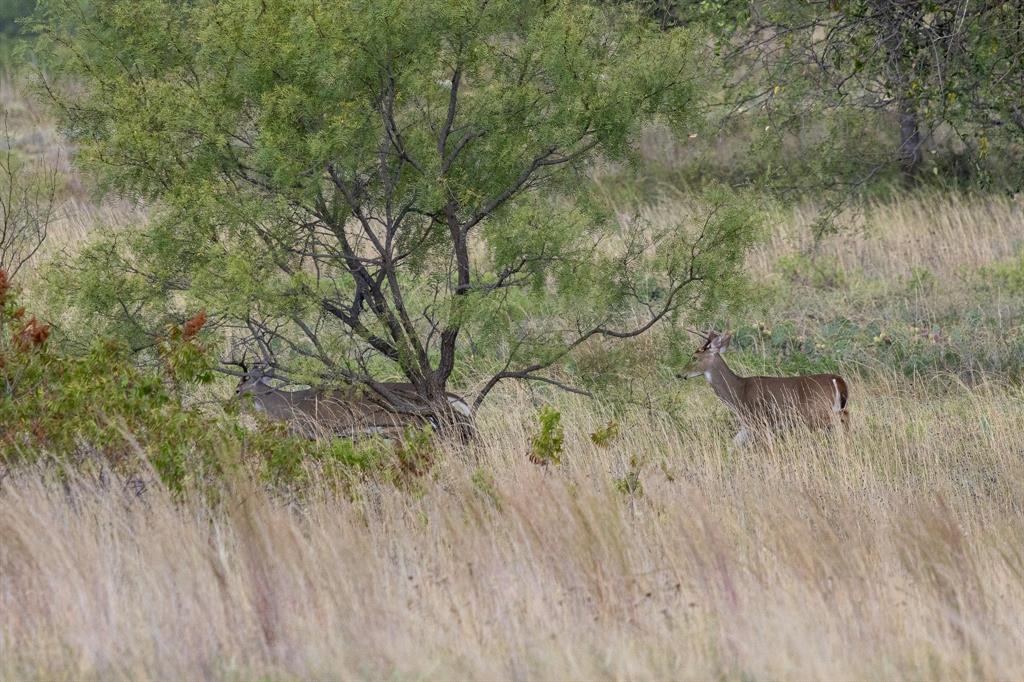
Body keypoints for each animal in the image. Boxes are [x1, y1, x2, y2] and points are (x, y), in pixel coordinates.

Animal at [678, 331, 849, 446]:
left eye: (694, 357)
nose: (680, 374)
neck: (738, 392)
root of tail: (837, 380)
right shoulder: (748, 424)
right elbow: (733, 444)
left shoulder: (758, 419)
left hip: (818, 412)